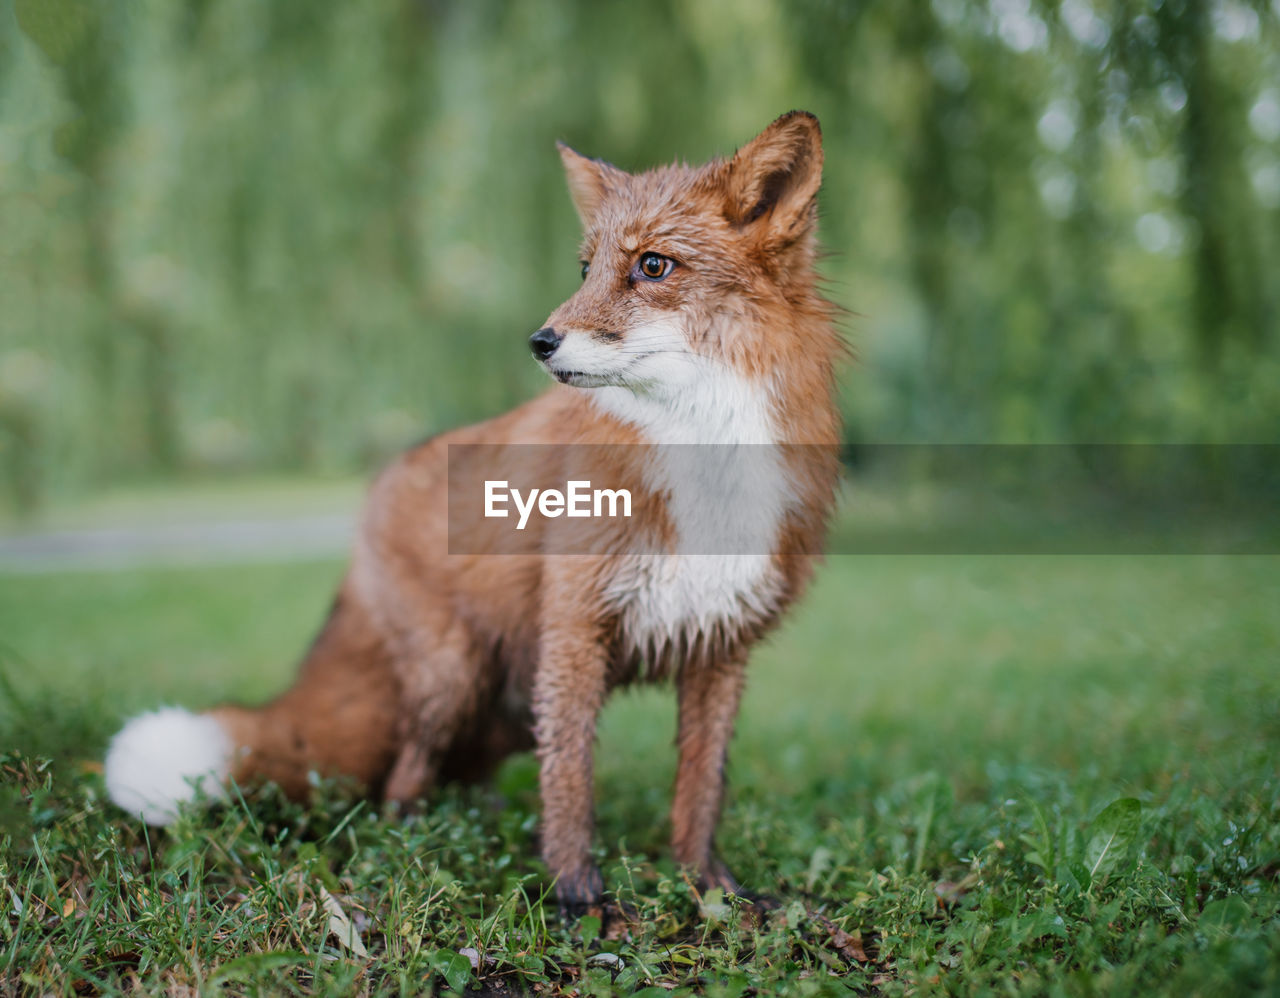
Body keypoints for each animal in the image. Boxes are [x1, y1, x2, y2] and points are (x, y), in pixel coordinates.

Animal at [104, 109, 844, 910]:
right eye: (585, 270)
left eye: (653, 266)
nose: (540, 342)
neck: (705, 458)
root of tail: (376, 493)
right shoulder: (575, 628)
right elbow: (572, 783)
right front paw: (577, 899)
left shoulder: (721, 643)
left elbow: (700, 793)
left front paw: (714, 893)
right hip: (454, 677)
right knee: (400, 779)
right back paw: (418, 843)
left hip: (505, 705)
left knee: (462, 774)